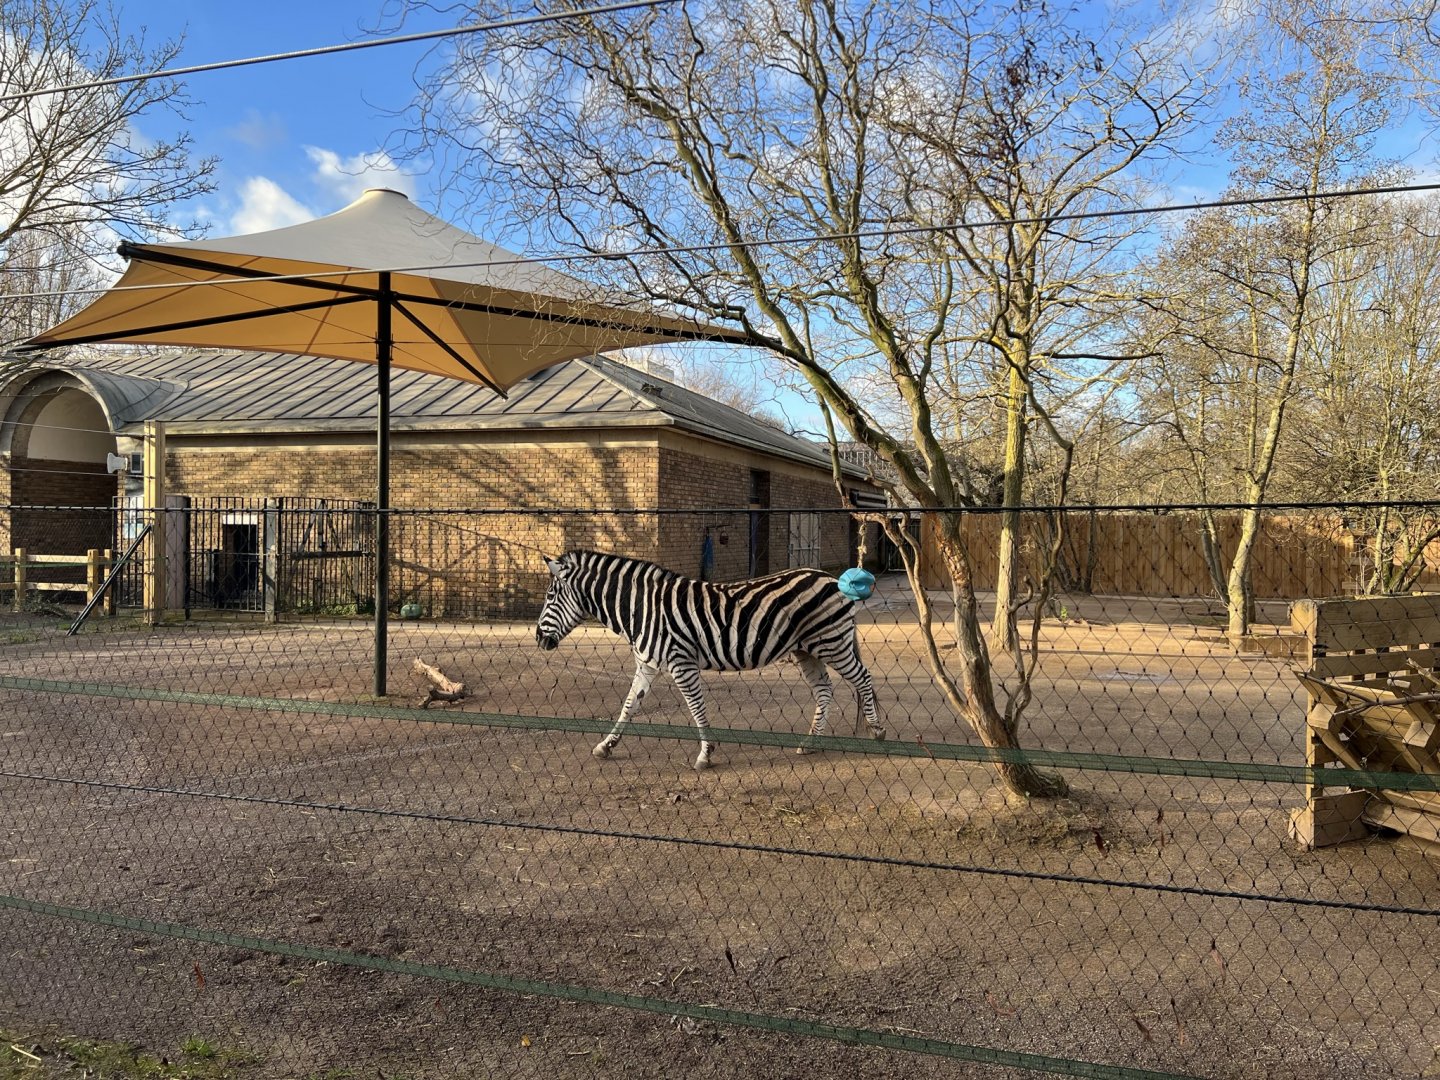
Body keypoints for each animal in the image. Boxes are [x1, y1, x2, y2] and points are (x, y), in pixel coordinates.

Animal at [535, 549, 886, 770]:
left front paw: (705, 754)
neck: (641, 608)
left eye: (550, 597)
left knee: (863, 678)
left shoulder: (681, 662)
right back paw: (810, 741)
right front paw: (606, 745)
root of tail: (830, 578)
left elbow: (696, 708)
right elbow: (629, 705)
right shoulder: (647, 663)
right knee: (824, 690)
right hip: (807, 649)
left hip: (832, 642)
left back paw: (877, 731)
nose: (539, 639)